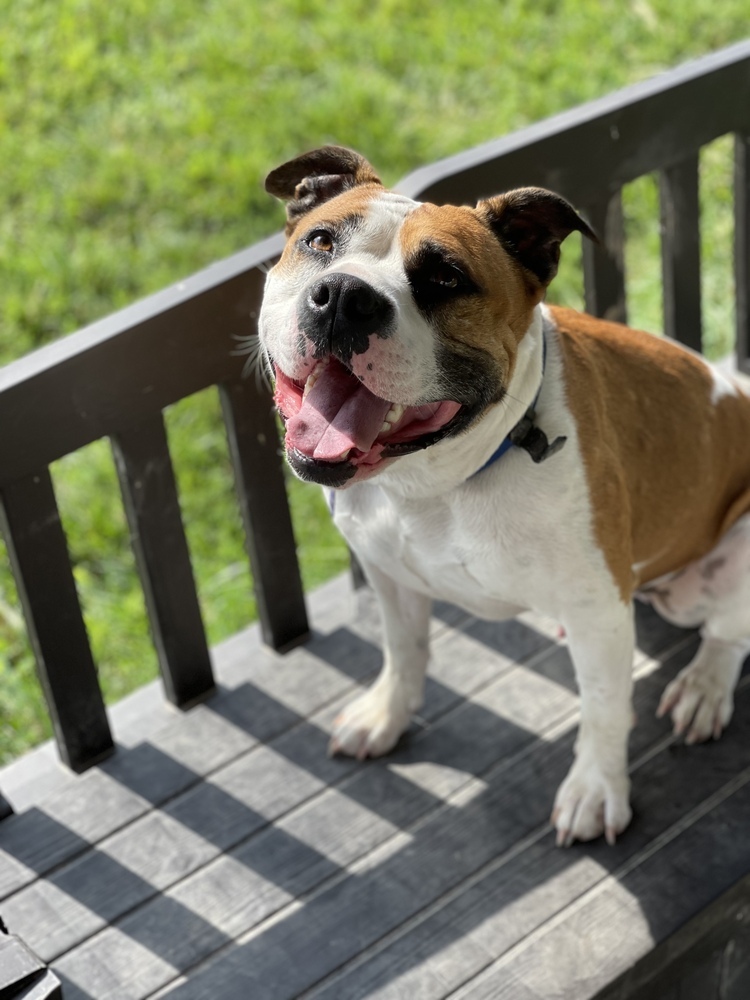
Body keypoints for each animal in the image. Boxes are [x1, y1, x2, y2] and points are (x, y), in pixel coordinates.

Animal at [258, 143, 750, 844]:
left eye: (445, 278)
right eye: (321, 241)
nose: (345, 296)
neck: (431, 484)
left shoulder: (599, 611)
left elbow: (605, 709)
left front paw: (597, 788)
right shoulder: (389, 573)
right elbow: (403, 648)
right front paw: (387, 715)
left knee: (728, 632)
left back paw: (705, 688)